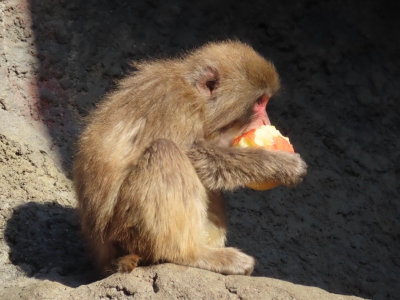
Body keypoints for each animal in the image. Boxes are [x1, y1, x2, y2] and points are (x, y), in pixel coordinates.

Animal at [73, 40, 306, 276]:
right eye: (259, 102)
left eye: (265, 101)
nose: (266, 120)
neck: (195, 95)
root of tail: (106, 258)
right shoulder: (176, 106)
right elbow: (192, 155)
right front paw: (280, 165)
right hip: (126, 232)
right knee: (165, 151)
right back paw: (192, 254)